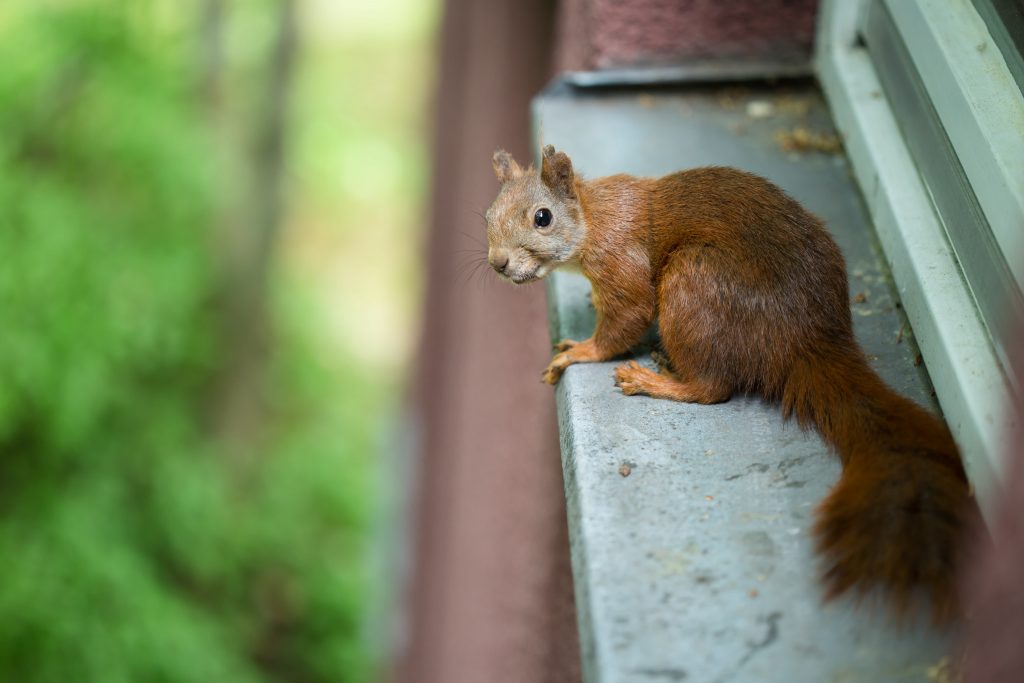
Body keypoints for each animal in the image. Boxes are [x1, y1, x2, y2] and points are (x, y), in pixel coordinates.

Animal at [484, 144, 974, 623]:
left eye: (542, 217)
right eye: (487, 214)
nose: (498, 263)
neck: (594, 216)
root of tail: (807, 339)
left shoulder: (621, 264)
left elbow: (625, 321)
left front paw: (578, 351)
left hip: (693, 284)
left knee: (713, 388)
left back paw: (654, 378)